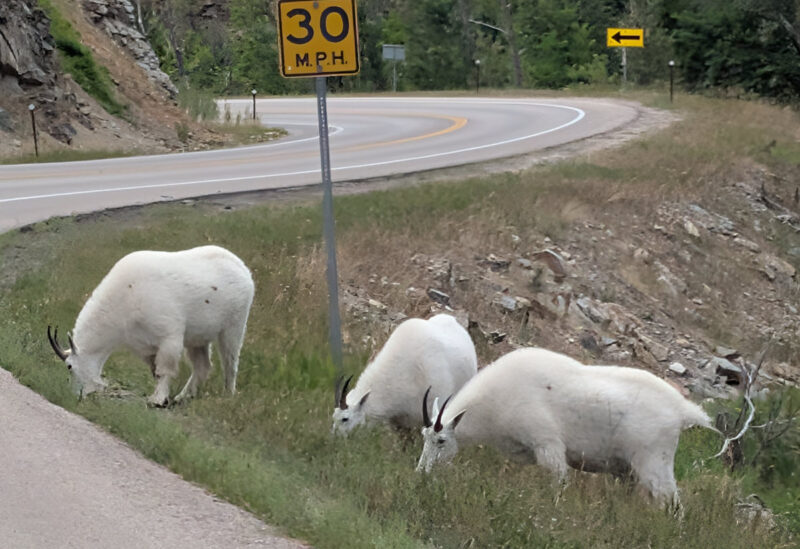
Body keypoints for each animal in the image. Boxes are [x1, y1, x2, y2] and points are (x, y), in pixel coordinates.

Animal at [47, 245, 254, 406]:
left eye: (69, 366)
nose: (77, 395)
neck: (125, 299)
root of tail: (244, 270)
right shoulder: (143, 344)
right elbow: (155, 370)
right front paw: (161, 397)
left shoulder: (169, 334)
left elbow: (165, 368)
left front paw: (158, 400)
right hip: (199, 336)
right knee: (202, 365)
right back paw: (182, 397)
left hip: (235, 322)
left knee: (230, 360)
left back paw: (228, 394)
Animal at [416, 347, 714, 505]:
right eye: (424, 436)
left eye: (441, 441)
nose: (421, 473)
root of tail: (682, 411)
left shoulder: (547, 445)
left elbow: (558, 482)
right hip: (629, 470)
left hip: (654, 461)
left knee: (672, 502)